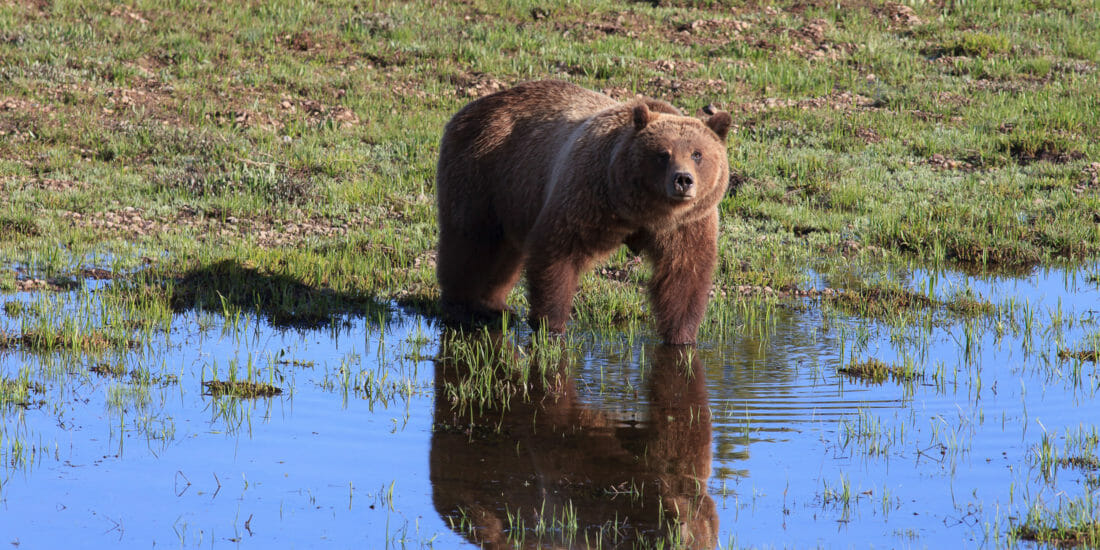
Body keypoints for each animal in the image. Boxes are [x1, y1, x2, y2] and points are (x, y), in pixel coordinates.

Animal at [435, 78, 730, 343]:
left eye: (697, 153)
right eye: (663, 154)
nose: (683, 180)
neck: (643, 211)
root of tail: (474, 106)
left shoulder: (687, 224)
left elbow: (684, 274)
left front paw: (681, 337)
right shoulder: (587, 197)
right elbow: (557, 253)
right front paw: (551, 325)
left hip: (513, 196)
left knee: (503, 254)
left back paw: (494, 305)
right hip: (483, 170)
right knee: (471, 243)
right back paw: (464, 307)